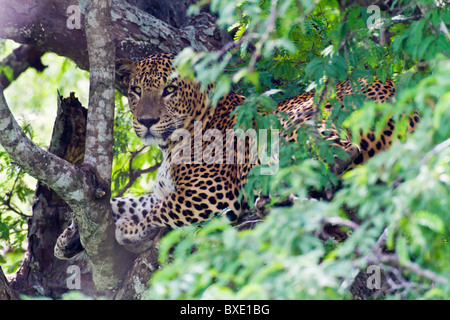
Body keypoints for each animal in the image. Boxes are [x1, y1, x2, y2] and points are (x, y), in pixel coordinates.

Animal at [54, 51, 420, 258]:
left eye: (169, 89)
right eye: (135, 90)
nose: (145, 121)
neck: (171, 145)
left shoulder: (212, 193)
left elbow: (158, 210)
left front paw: (130, 230)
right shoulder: (167, 189)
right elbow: (125, 201)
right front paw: (68, 237)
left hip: (298, 120)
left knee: (338, 154)